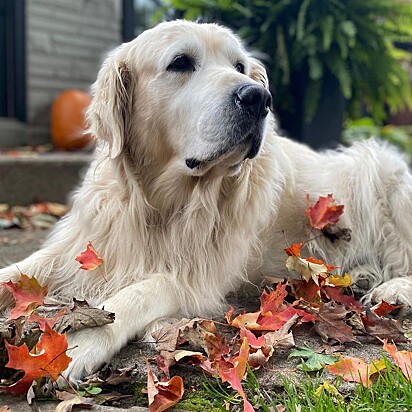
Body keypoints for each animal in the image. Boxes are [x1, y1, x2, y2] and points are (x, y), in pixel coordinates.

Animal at [0, 20, 412, 384]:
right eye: (180, 62)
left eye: (240, 66)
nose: (259, 98)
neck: (162, 201)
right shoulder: (84, 244)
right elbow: (20, 271)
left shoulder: (198, 278)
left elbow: (134, 295)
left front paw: (76, 344)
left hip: (381, 169)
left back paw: (392, 290)